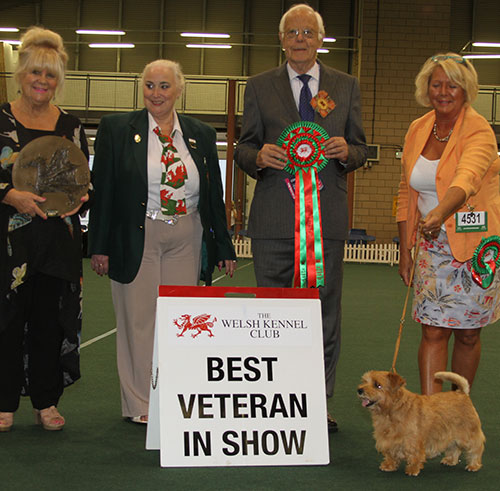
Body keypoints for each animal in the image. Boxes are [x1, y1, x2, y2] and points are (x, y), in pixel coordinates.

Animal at [358, 372, 486, 476]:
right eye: (364, 381)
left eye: (378, 385)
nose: (359, 390)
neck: (390, 411)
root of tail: (462, 393)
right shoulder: (388, 440)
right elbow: (390, 454)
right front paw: (389, 465)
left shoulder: (412, 441)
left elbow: (414, 456)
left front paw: (412, 470)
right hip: (450, 434)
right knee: (454, 448)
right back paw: (450, 460)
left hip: (468, 435)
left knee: (476, 448)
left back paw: (473, 465)